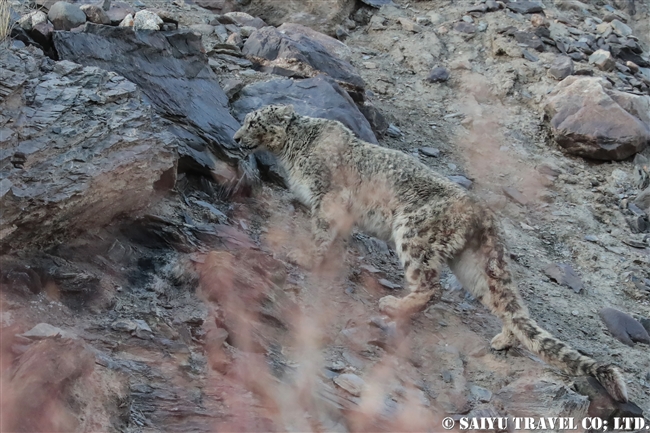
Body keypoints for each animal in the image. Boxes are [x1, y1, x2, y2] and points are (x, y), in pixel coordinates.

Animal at [230, 104, 624, 402]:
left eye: (253, 121)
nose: (234, 138)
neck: (293, 149)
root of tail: (484, 213)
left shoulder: (328, 199)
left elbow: (321, 232)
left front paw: (307, 257)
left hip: (412, 232)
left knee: (430, 286)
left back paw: (395, 306)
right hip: (473, 266)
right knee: (506, 304)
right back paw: (502, 339)